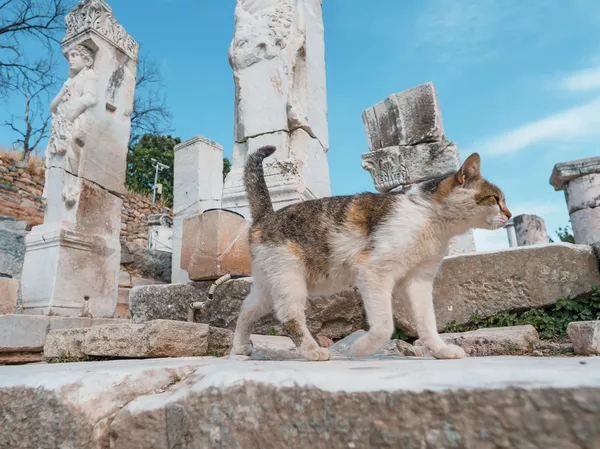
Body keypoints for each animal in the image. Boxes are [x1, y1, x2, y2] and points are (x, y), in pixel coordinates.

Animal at [232, 147, 508, 360]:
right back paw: (313, 351)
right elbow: (385, 325)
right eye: (496, 199)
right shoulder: (374, 272)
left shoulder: (419, 281)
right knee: (289, 318)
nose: (510, 214)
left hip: (269, 285)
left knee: (246, 309)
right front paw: (360, 348)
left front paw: (441, 351)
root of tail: (265, 216)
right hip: (290, 281)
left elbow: (427, 322)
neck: (430, 219)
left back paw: (241, 346)